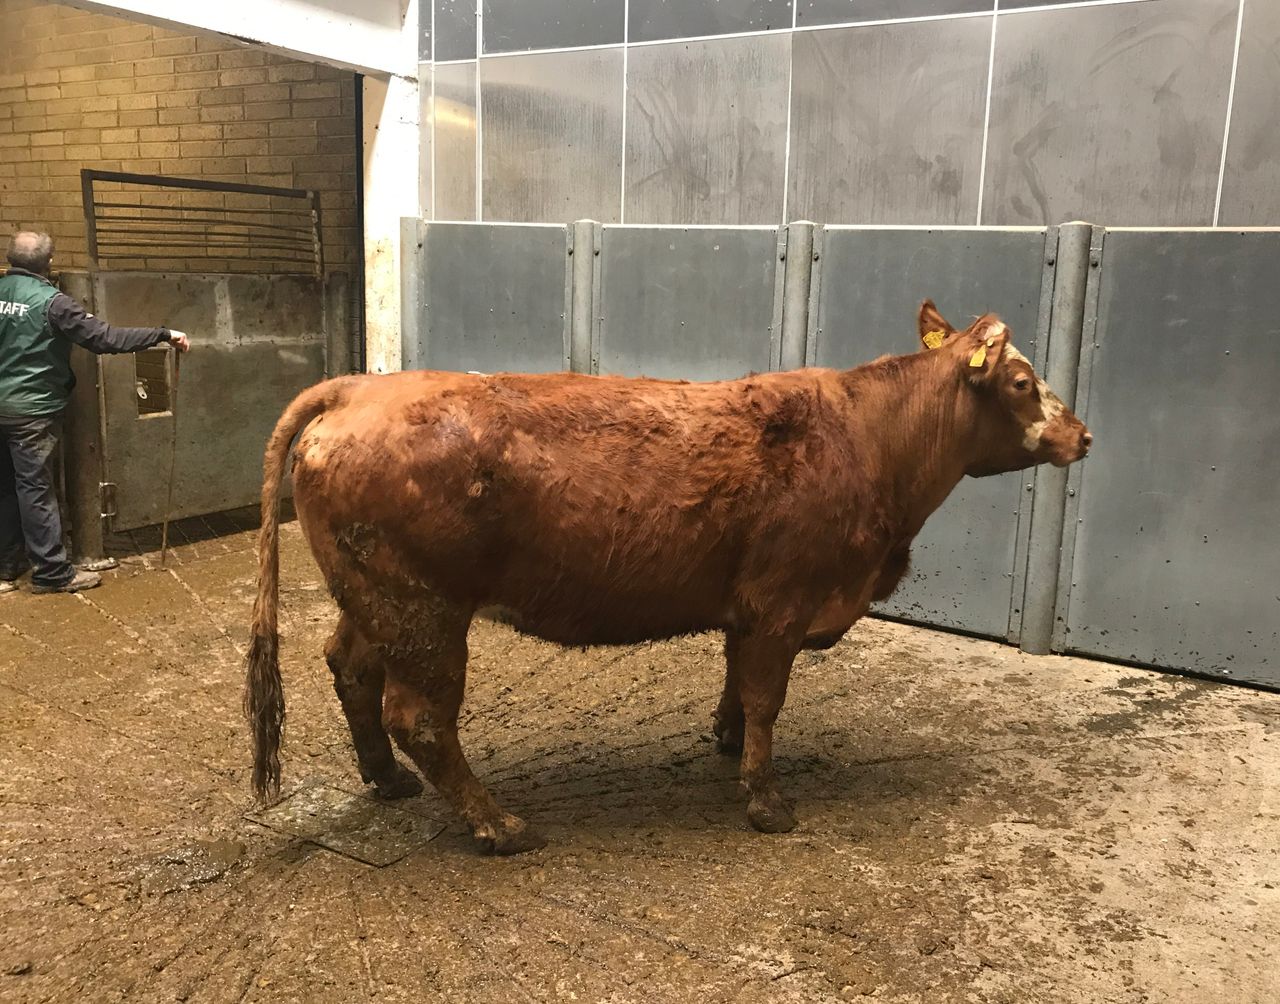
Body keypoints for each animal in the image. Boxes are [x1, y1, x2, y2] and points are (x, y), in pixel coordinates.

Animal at [244, 300, 1091, 855]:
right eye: (1022, 383)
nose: (1082, 435)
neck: (870, 440)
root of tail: (361, 385)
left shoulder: (749, 609)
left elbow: (738, 684)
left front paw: (726, 741)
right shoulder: (784, 602)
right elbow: (767, 698)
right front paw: (767, 802)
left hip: (374, 599)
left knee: (351, 670)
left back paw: (386, 781)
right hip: (424, 612)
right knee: (419, 716)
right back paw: (498, 824)